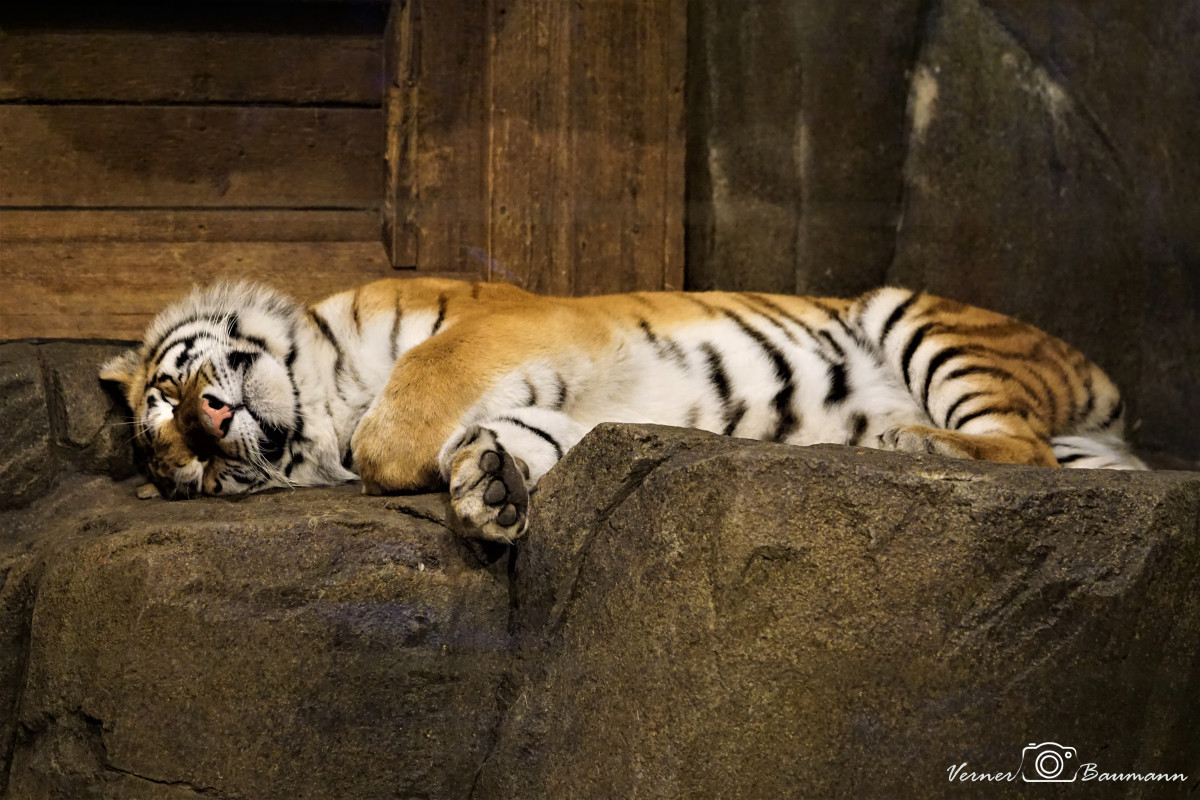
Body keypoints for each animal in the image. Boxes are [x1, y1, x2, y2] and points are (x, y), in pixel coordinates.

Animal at [99, 278, 1145, 541]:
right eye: (192, 470)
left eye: (170, 396)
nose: (211, 432)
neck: (326, 398)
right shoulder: (546, 403)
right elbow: (513, 434)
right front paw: (488, 490)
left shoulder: (504, 318)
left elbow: (403, 417)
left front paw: (398, 455)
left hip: (917, 317)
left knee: (1019, 449)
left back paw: (909, 440)